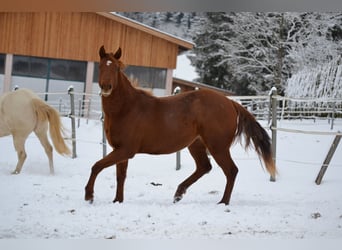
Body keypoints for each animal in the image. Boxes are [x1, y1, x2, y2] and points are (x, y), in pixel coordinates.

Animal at [84, 46, 276, 205]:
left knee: (231, 170)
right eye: (101, 67)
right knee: (205, 167)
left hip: (218, 146)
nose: (106, 87)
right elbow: (120, 176)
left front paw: (89, 196)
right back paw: (178, 194)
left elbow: (96, 166)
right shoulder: (120, 151)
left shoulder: (126, 150)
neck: (127, 108)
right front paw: (117, 200)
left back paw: (223, 202)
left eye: (116, 68)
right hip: (197, 145)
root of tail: (230, 102)